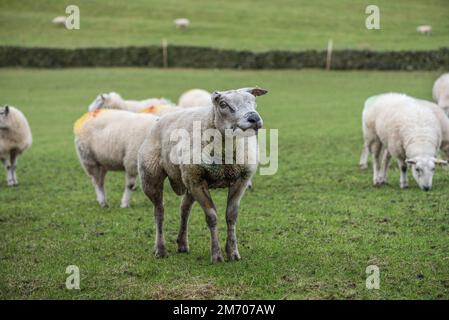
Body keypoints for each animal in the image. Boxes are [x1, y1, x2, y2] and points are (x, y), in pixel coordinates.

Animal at [137, 86, 266, 262]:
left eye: (253, 100)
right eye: (223, 104)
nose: (254, 118)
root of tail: (160, 120)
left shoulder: (241, 180)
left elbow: (231, 216)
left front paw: (233, 252)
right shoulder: (198, 182)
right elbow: (212, 217)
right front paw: (217, 255)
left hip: (188, 180)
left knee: (184, 209)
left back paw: (182, 244)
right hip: (152, 177)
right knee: (159, 212)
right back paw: (160, 249)